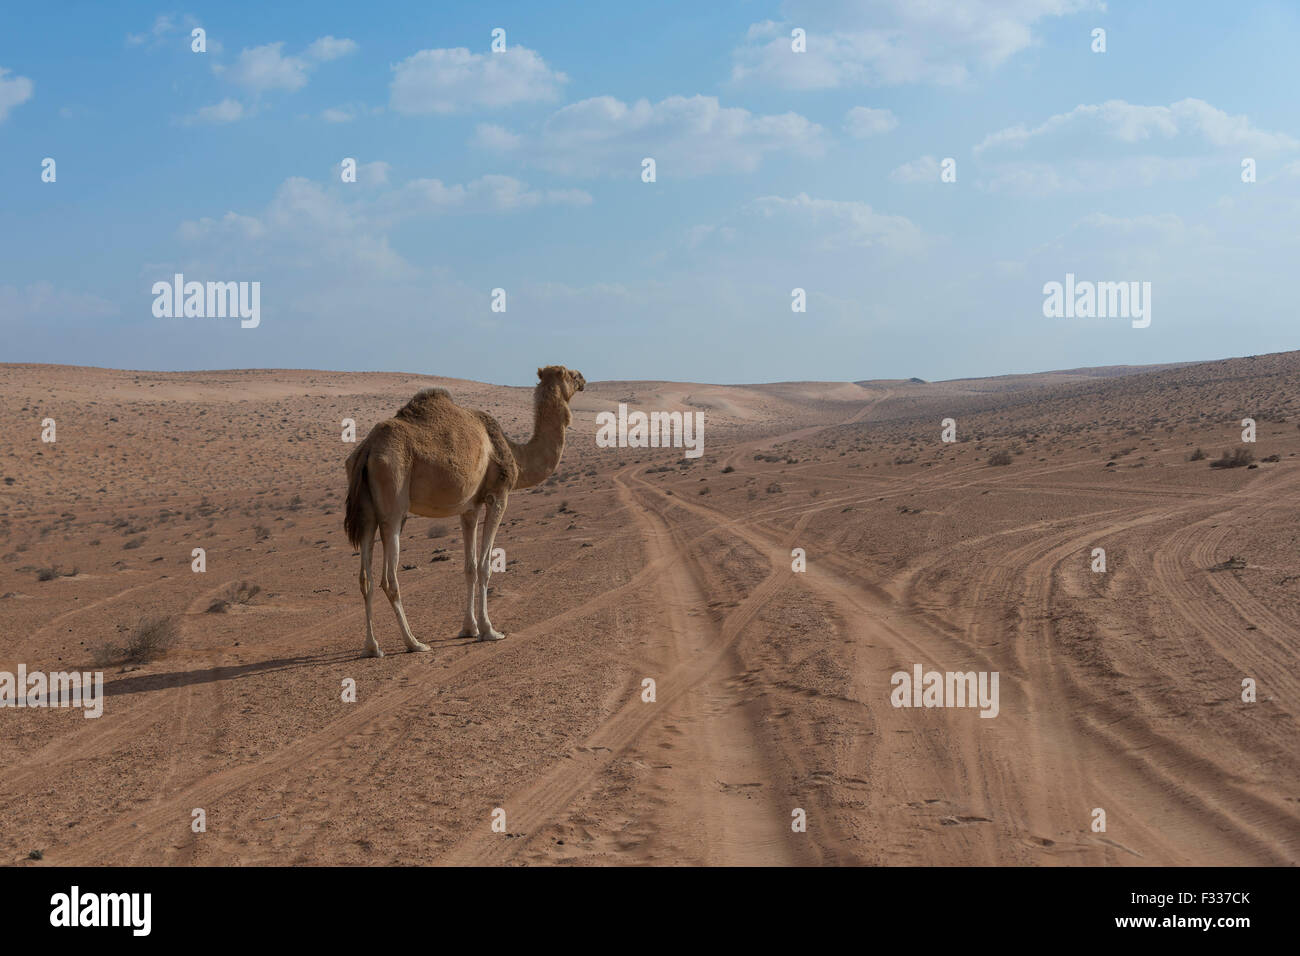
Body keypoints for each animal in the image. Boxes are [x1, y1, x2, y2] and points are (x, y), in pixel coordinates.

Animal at [345, 366, 590, 658]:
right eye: (570, 374)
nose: (584, 379)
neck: (516, 454)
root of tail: (367, 449)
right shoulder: (498, 496)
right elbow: (485, 566)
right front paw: (489, 630)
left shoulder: (469, 508)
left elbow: (469, 567)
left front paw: (469, 628)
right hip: (393, 501)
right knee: (389, 577)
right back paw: (414, 643)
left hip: (366, 512)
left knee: (365, 577)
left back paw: (372, 647)